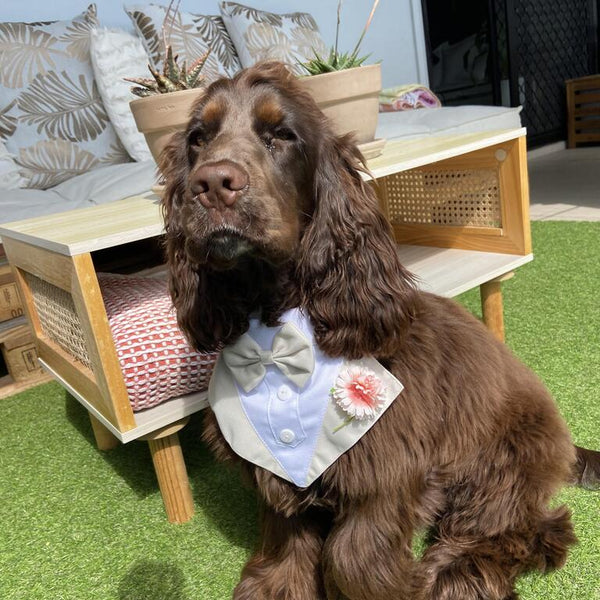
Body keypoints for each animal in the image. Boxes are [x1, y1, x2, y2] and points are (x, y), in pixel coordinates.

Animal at [161, 63, 596, 596]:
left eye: (282, 134)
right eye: (198, 139)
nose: (212, 183)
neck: (277, 330)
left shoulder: (386, 470)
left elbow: (353, 556)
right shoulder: (276, 477)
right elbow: (287, 540)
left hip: (499, 463)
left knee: (530, 527)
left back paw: (455, 574)